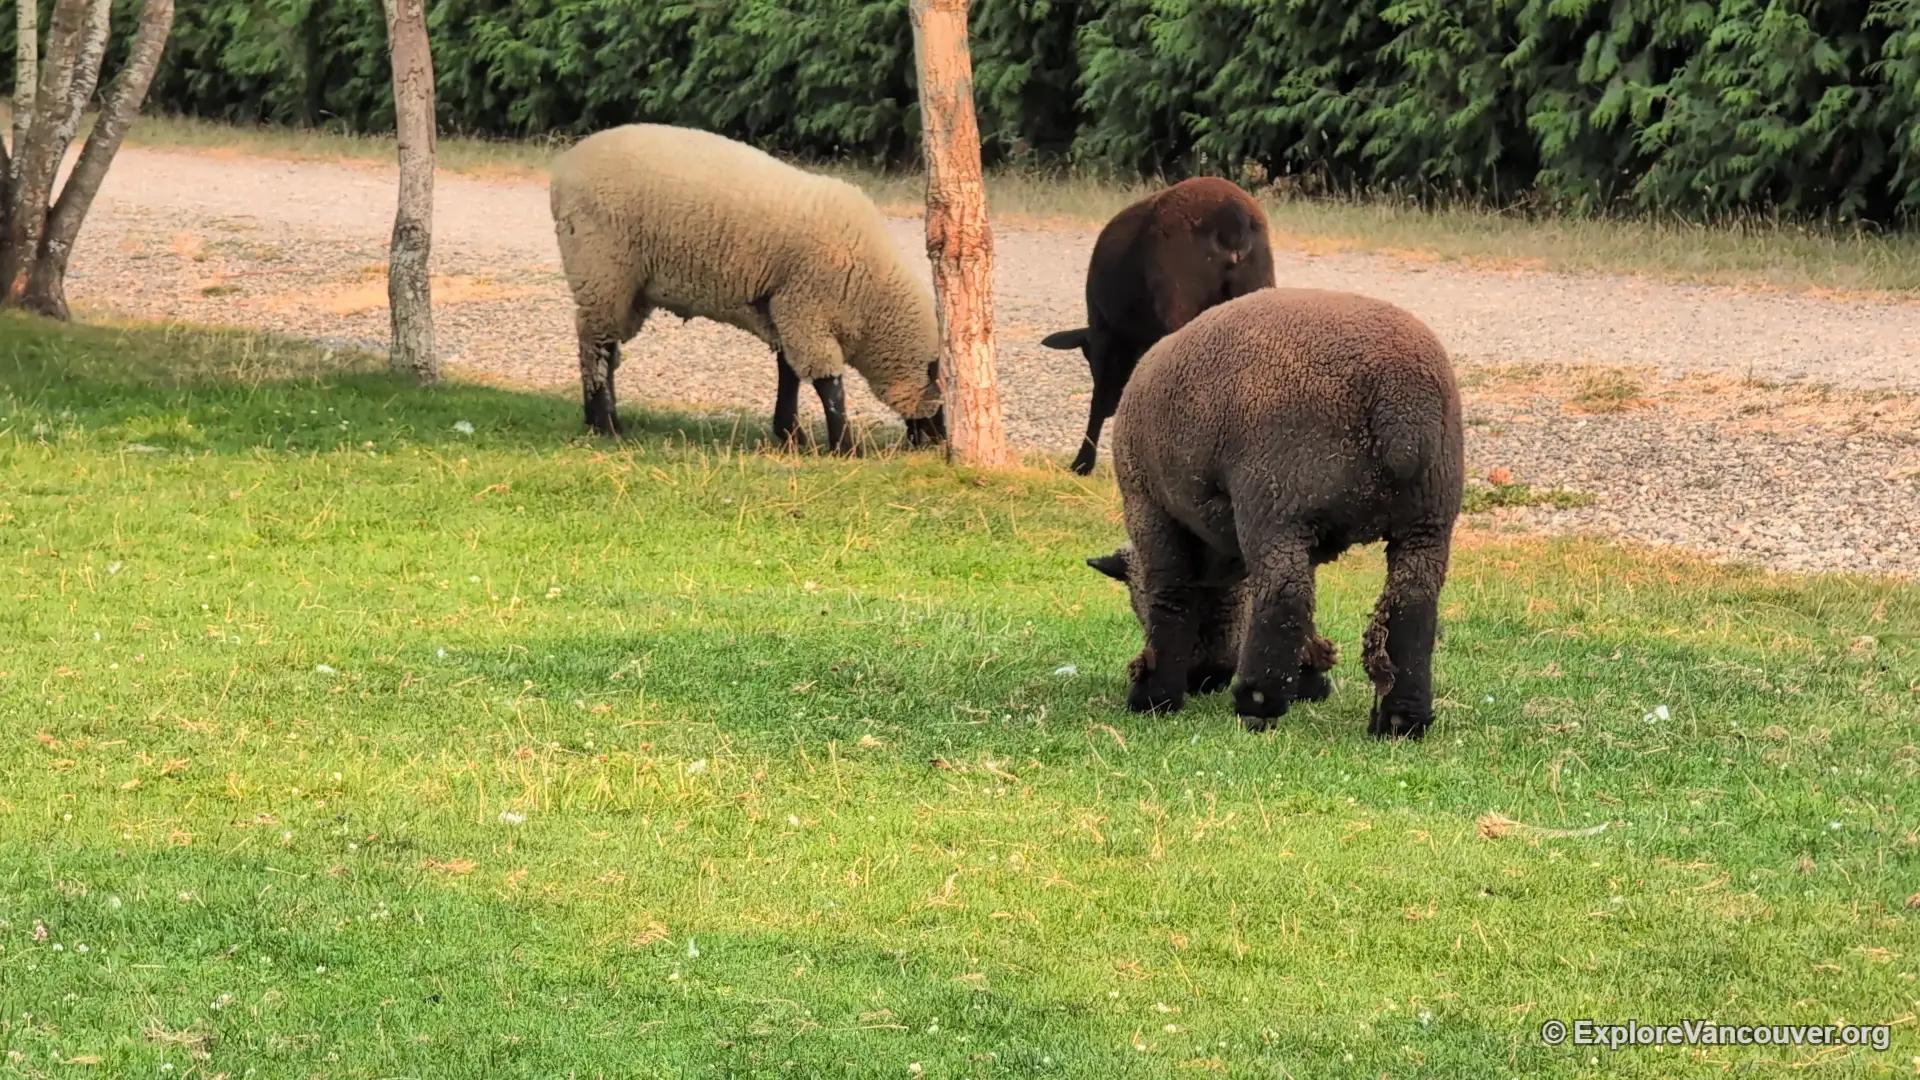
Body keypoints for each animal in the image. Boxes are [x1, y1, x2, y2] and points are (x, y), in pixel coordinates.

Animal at [548, 123, 947, 452]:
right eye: (943, 393)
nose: (939, 442)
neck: (871, 300)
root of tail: (561, 171)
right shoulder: (805, 309)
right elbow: (828, 384)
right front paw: (844, 447)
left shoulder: (786, 312)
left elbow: (789, 373)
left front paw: (791, 434)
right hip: (601, 269)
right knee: (596, 347)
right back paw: (606, 424)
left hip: (631, 287)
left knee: (608, 349)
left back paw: (599, 419)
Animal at [1040, 176, 1275, 476]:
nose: (1114, 408)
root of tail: (1232, 218)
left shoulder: (1105, 333)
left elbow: (1098, 398)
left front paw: (1082, 462)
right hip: (1256, 289)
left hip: (1178, 301)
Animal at [1098, 286, 1464, 739]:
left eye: (1136, 602)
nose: (1204, 678)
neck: (1218, 562)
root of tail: (1403, 400)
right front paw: (1309, 676)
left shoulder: (1148, 506)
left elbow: (1171, 594)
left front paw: (1154, 695)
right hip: (1428, 514)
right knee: (1412, 601)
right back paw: (1402, 718)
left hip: (1275, 499)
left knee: (1284, 594)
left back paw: (1257, 702)